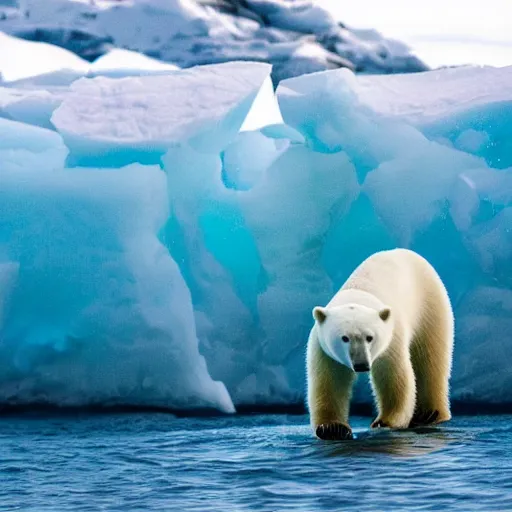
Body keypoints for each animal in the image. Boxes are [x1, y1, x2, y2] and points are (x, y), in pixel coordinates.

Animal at [306, 248, 454, 440]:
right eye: (344, 338)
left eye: (370, 337)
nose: (361, 365)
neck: (357, 293)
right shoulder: (323, 348)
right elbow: (330, 382)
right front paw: (332, 428)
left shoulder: (391, 339)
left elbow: (393, 377)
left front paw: (384, 422)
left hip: (430, 306)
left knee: (430, 358)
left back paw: (429, 414)